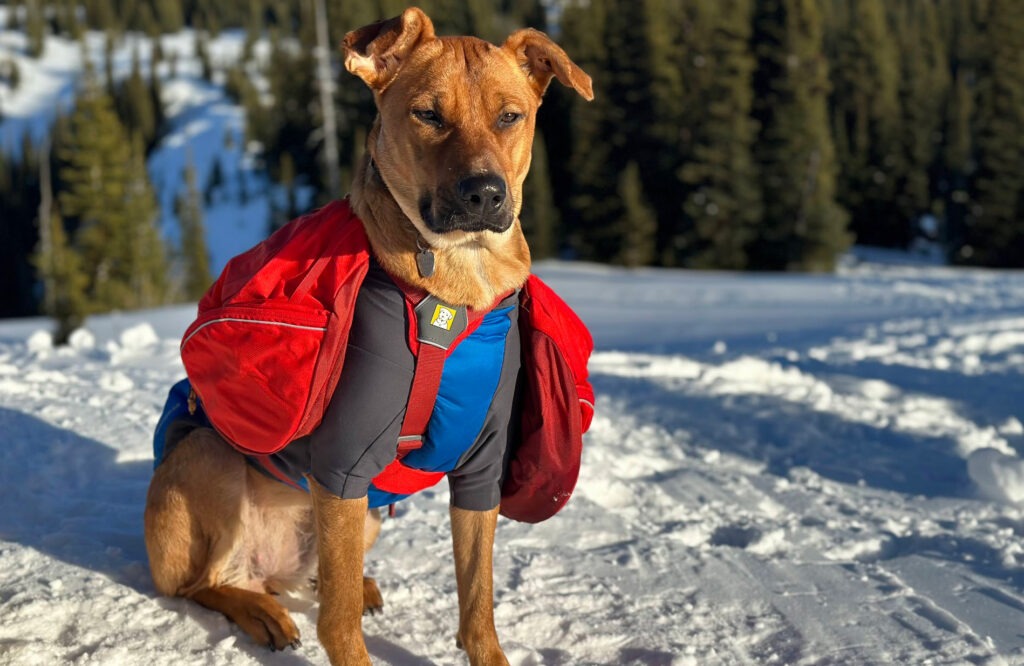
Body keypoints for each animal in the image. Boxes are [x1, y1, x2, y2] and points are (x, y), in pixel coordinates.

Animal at [144, 6, 593, 663]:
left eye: (510, 116)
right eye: (428, 114)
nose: (484, 193)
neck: (454, 292)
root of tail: (268, 571)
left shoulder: (480, 471)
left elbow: (478, 603)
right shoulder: (342, 467)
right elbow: (339, 627)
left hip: (366, 516)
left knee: (316, 577)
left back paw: (351, 584)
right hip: (211, 461)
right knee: (208, 582)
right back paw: (263, 613)